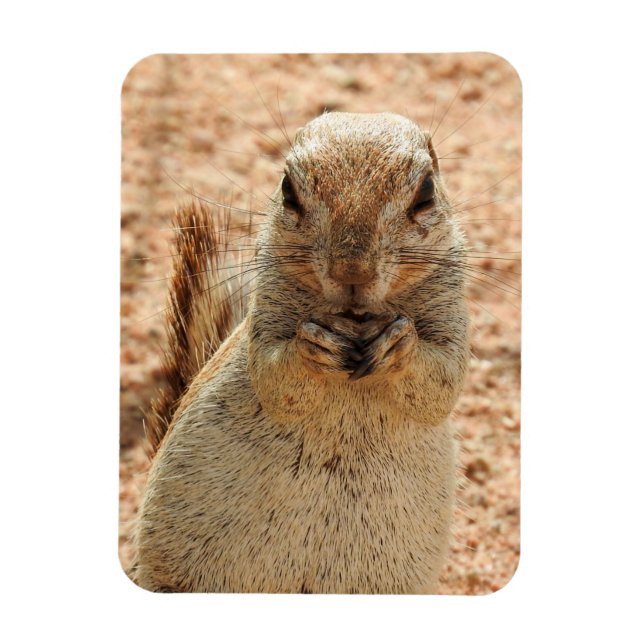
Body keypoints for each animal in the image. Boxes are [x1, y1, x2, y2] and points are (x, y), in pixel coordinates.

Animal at [133, 111, 470, 593]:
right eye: (287, 190)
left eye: (426, 191)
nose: (352, 271)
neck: (355, 319)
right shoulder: (266, 311)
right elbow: (274, 377)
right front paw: (311, 347)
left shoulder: (451, 310)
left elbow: (441, 382)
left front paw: (399, 345)